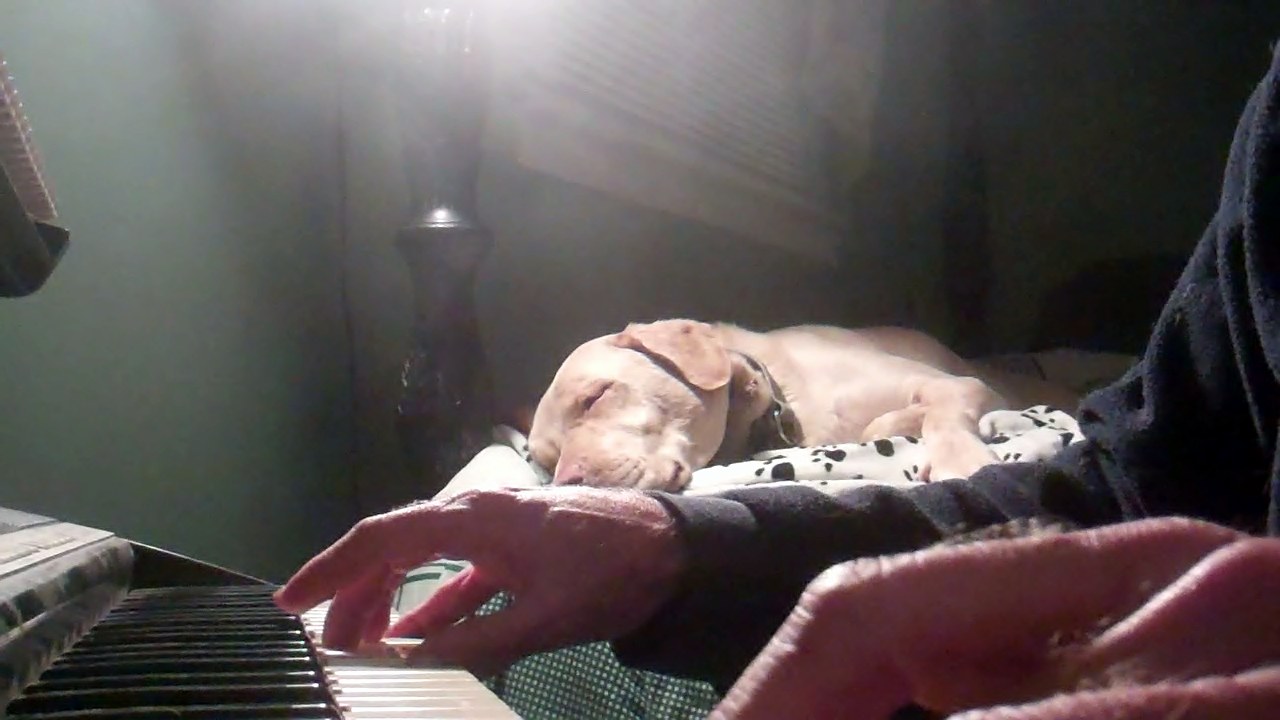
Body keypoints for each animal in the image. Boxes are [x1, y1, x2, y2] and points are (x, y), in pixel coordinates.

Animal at [526, 319, 1079, 491]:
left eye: (595, 396)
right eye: (546, 464)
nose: (568, 482)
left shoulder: (960, 385)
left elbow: (939, 416)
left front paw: (958, 459)